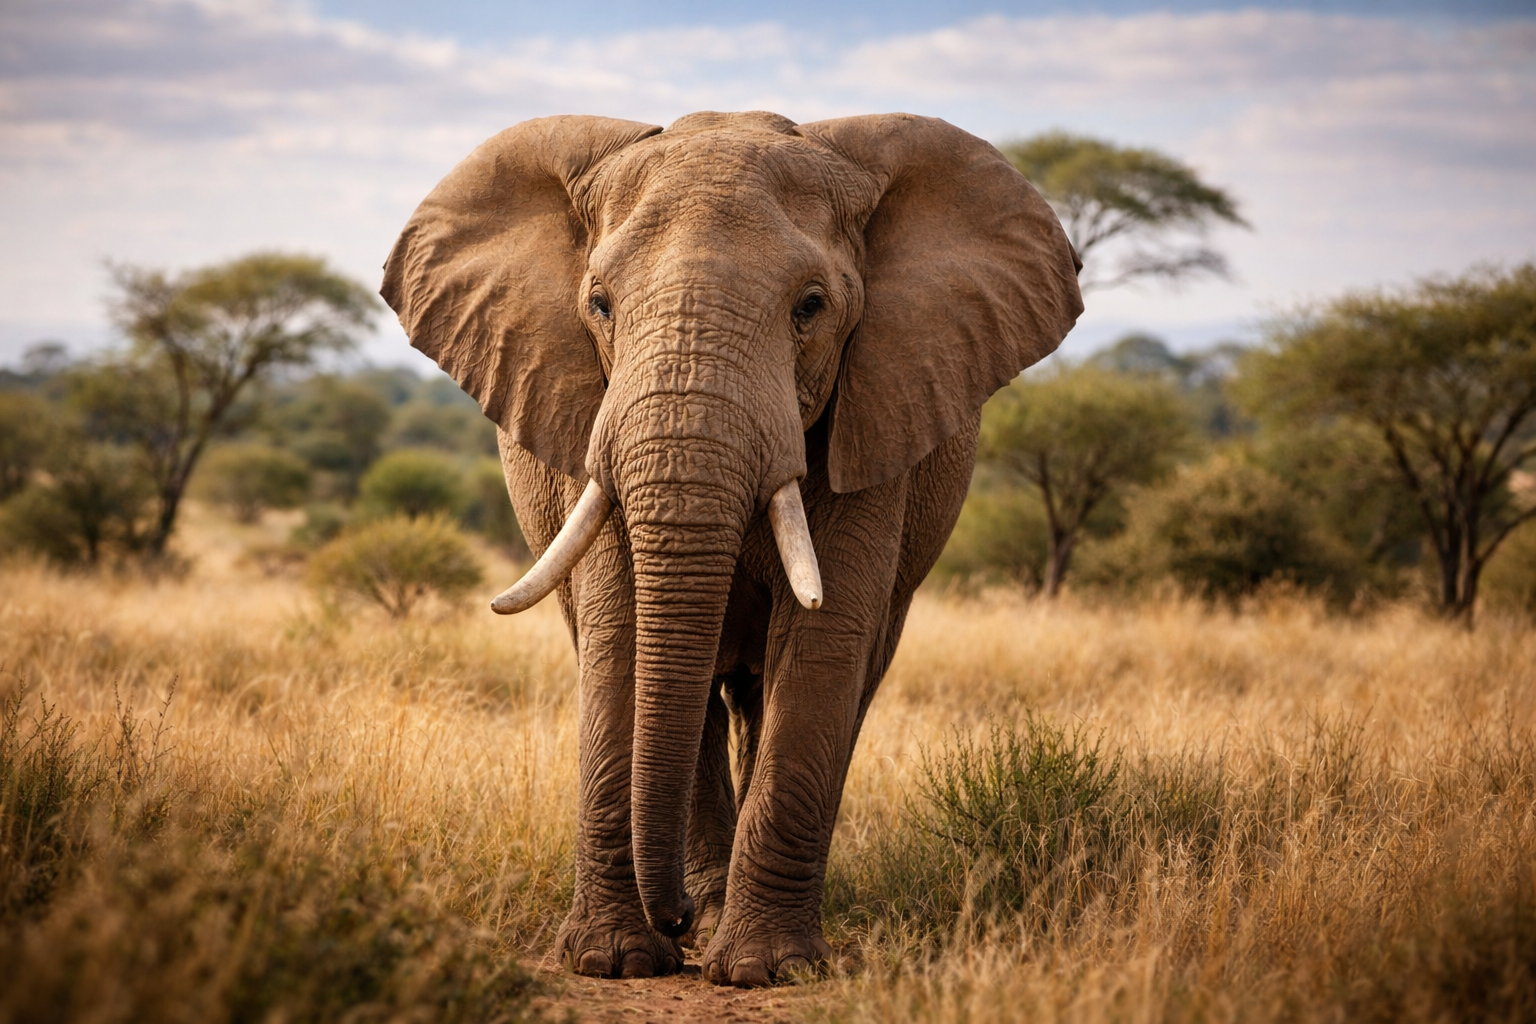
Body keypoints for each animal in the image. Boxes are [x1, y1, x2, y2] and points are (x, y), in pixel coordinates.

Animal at [381, 110, 1082, 987]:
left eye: (811, 306)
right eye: (599, 303)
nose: (673, 915)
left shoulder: (875, 405)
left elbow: (823, 642)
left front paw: (765, 969)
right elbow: (620, 631)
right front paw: (615, 961)